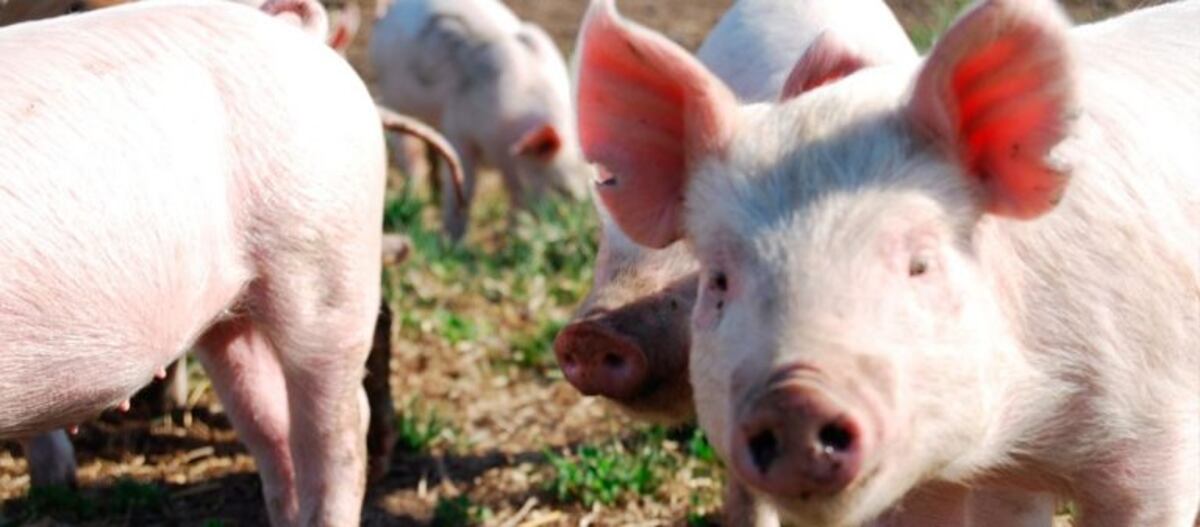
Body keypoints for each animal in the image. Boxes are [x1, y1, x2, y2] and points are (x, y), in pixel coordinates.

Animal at [369, 0, 590, 241]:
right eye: (562, 189)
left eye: (587, 193)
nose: (566, 233)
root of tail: (388, 14)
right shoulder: (458, 128)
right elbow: (465, 185)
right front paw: (453, 242)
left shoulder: (509, 163)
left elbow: (516, 196)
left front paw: (515, 234)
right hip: (393, 97)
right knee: (409, 154)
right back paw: (415, 197)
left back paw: (435, 195)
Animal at [575, 0, 1200, 525]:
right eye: (720, 280)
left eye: (919, 264)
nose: (793, 399)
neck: (1029, 427)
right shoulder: (985, 481)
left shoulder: (1154, 444)